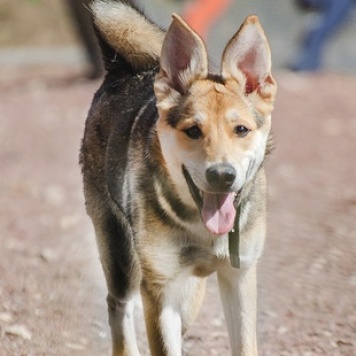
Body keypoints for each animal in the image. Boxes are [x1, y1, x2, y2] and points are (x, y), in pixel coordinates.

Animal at [79, 1, 276, 354]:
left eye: (241, 130)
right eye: (193, 131)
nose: (222, 175)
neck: (202, 229)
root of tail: (123, 71)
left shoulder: (239, 275)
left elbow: (244, 343)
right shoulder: (159, 289)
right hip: (121, 252)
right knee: (119, 306)